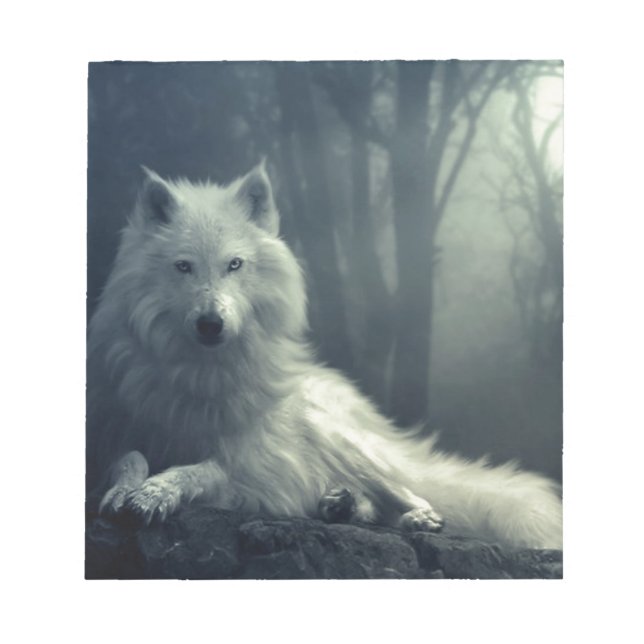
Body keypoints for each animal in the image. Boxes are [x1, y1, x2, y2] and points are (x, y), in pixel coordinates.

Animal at [87, 163, 563, 550]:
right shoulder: (113, 432)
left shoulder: (249, 464)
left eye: (235, 265)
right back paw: (341, 505)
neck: (199, 373)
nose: (210, 324)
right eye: (183, 266)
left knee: (410, 491)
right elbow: (129, 458)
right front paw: (124, 491)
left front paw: (155, 493)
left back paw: (415, 517)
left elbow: (201, 469)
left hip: (340, 441)